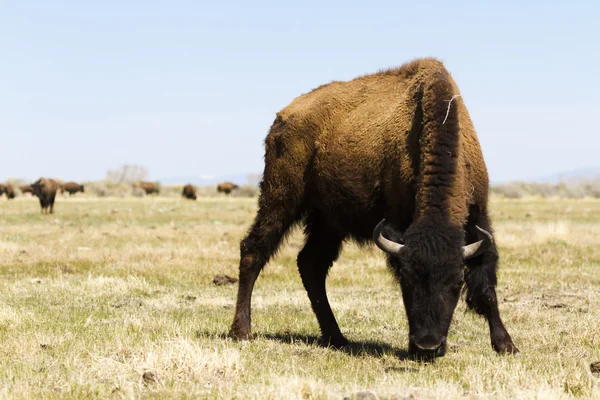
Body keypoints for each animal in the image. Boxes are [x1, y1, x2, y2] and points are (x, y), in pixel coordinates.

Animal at [229, 57, 516, 358]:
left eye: (457, 282)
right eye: (407, 280)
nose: (427, 346)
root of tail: (281, 118)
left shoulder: (479, 219)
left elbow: (486, 286)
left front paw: (506, 344)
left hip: (327, 221)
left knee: (310, 264)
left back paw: (337, 337)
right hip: (281, 199)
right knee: (253, 250)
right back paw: (242, 332)